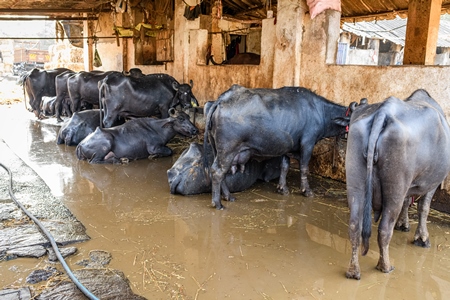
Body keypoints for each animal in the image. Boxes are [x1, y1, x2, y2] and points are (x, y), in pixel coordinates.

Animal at [204, 84, 356, 209]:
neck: (320, 111)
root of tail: (223, 99)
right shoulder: (308, 143)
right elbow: (304, 168)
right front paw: (307, 191)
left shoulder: (287, 148)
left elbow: (284, 167)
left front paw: (282, 188)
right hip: (227, 150)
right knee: (218, 172)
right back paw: (218, 203)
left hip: (217, 149)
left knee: (219, 172)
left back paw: (228, 196)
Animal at [344, 88, 450, 278]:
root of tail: (384, 111)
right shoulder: (432, 183)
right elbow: (424, 208)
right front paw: (422, 238)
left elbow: (408, 203)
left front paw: (404, 224)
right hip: (395, 189)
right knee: (385, 229)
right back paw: (385, 266)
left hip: (356, 184)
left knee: (355, 225)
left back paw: (353, 271)